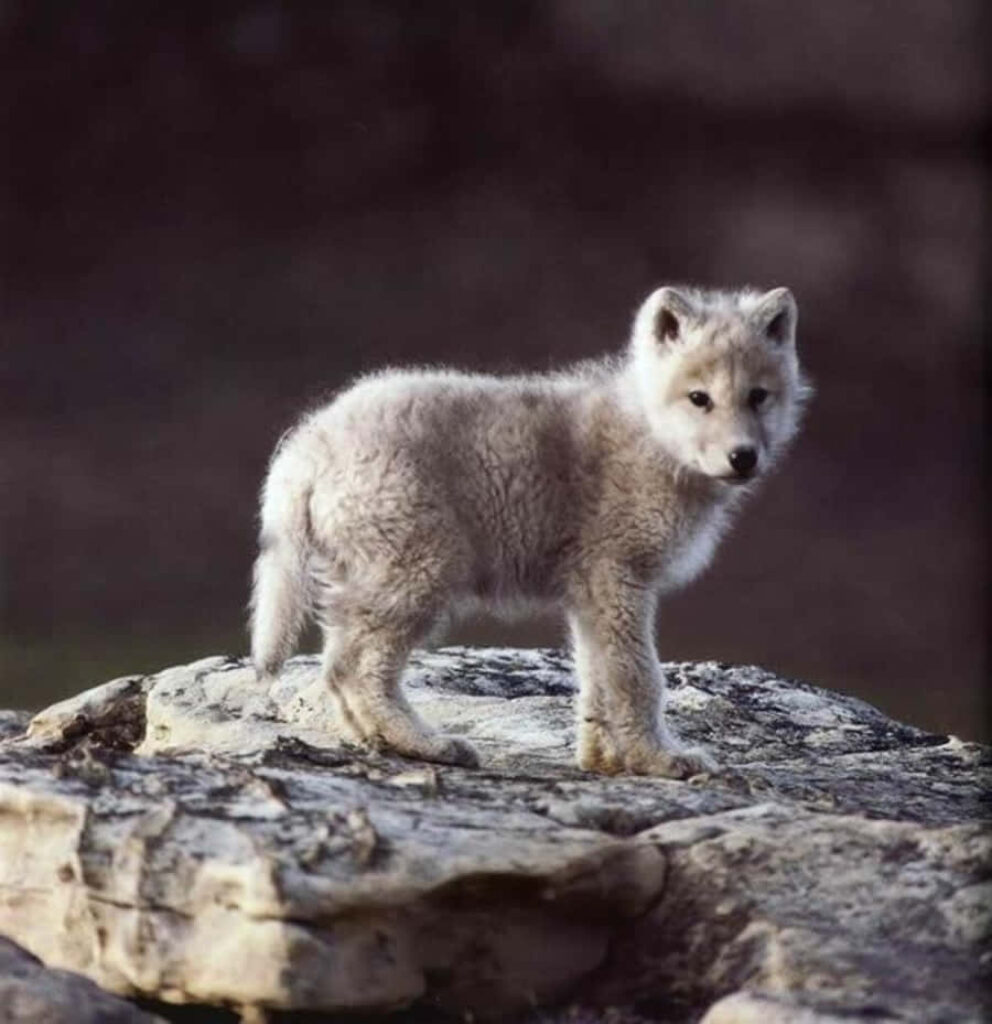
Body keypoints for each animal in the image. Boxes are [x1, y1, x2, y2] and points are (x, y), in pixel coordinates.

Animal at [250, 285, 809, 777]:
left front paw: (604, 761)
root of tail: (310, 443)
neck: (650, 436)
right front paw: (659, 760)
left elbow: (596, 680)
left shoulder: (591, 597)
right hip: (418, 574)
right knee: (358, 670)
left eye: (758, 397)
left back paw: (382, 741)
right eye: (699, 398)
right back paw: (428, 745)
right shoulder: (619, 579)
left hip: (379, 580)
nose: (743, 457)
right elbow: (638, 678)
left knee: (339, 667)